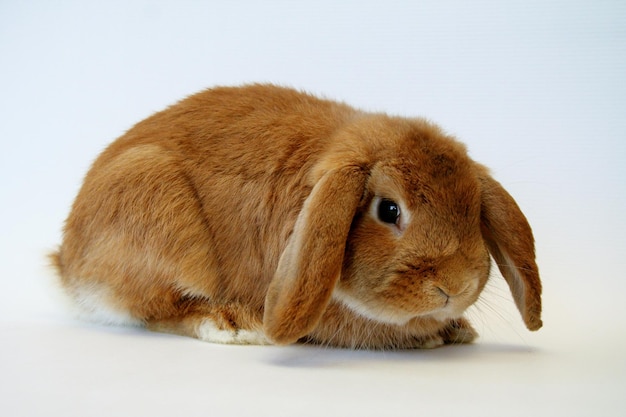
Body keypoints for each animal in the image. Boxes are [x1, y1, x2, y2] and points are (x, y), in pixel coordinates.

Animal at [51, 83, 540, 348]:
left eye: (473, 210)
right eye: (388, 209)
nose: (454, 287)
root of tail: (68, 262)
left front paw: (456, 329)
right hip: (159, 215)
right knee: (157, 309)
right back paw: (231, 323)